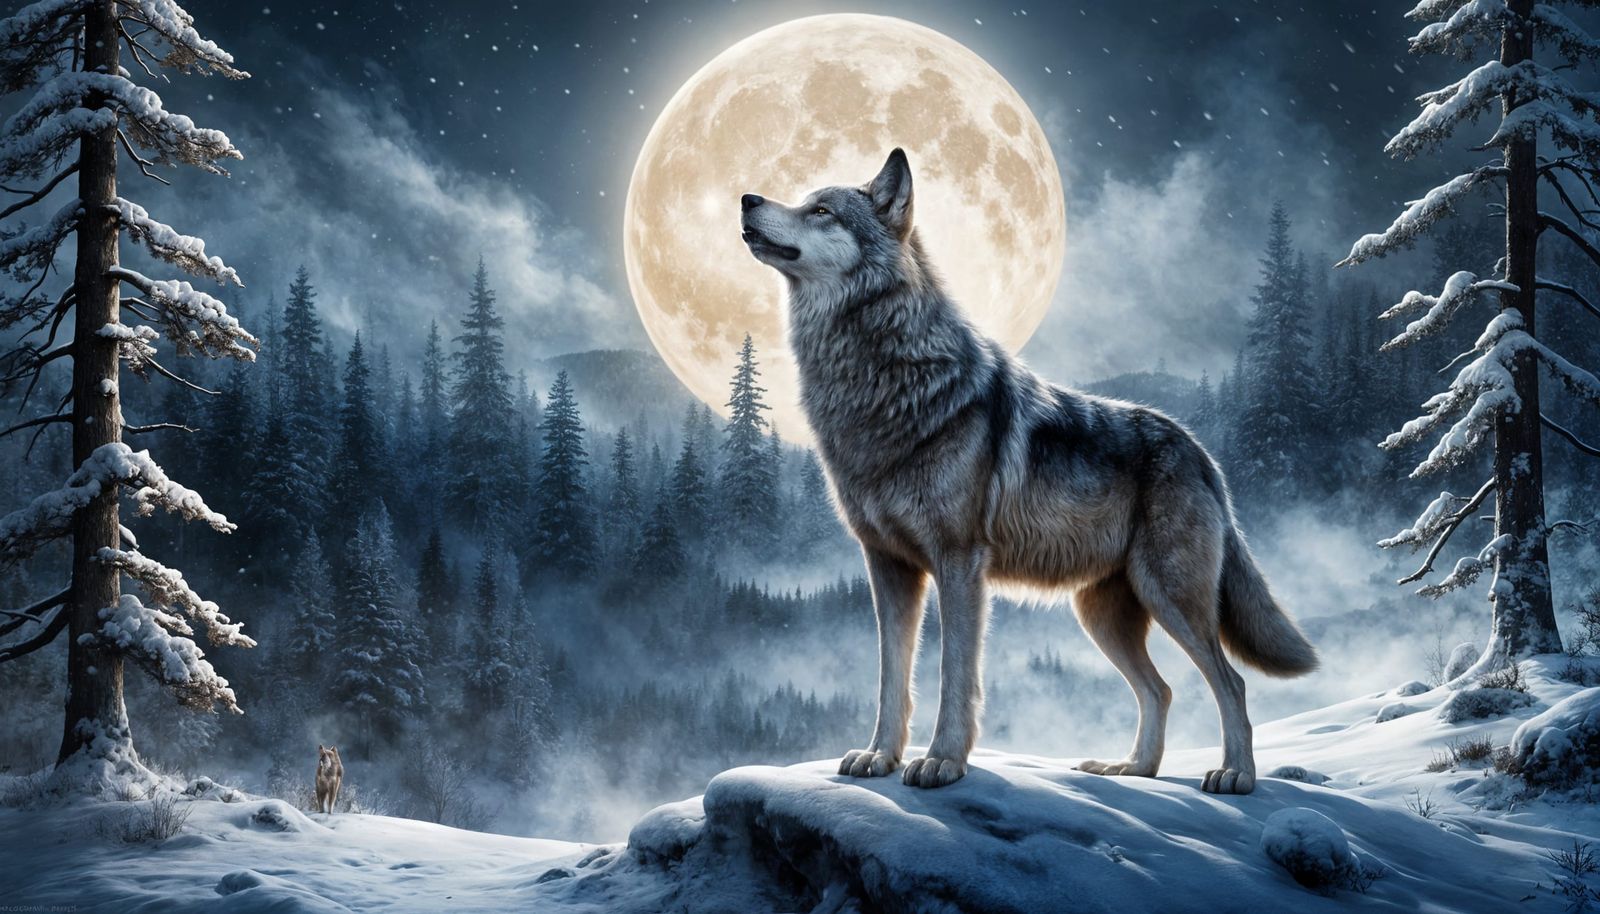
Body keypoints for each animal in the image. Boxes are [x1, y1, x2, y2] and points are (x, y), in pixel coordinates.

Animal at [739, 149, 1317, 794]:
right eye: (803, 201)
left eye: (821, 210)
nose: (747, 199)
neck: (881, 382)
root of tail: (1203, 454)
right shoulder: (888, 567)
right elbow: (893, 678)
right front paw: (879, 757)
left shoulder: (960, 563)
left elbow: (953, 674)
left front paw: (942, 761)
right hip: (1102, 617)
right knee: (1161, 689)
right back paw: (1133, 768)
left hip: (1170, 598)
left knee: (1231, 681)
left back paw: (1235, 774)